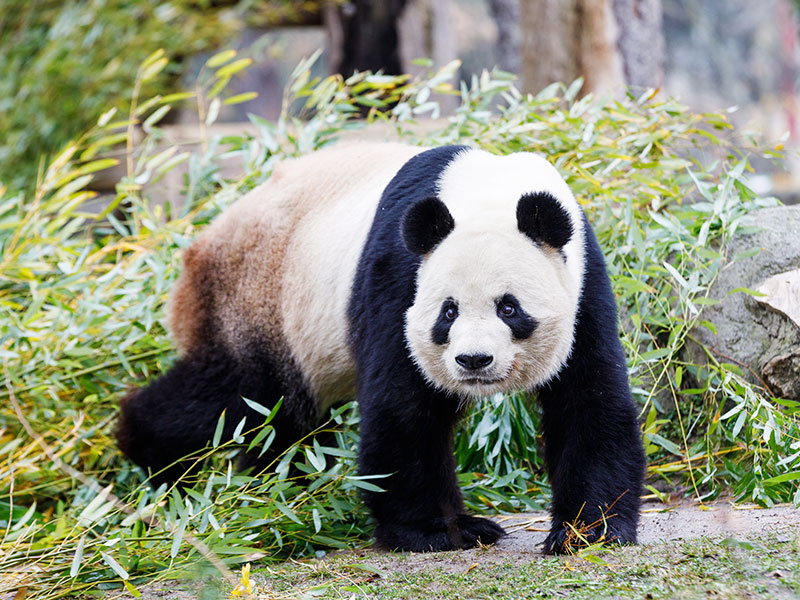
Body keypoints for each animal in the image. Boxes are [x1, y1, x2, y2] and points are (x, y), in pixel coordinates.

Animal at [115, 141, 648, 552]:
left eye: (509, 308)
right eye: (448, 312)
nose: (473, 361)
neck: (489, 194)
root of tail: (199, 246)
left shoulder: (582, 281)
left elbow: (589, 400)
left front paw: (589, 529)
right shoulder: (399, 274)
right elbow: (404, 406)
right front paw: (441, 531)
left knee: (285, 428)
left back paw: (287, 489)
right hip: (256, 302)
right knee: (231, 399)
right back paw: (158, 463)